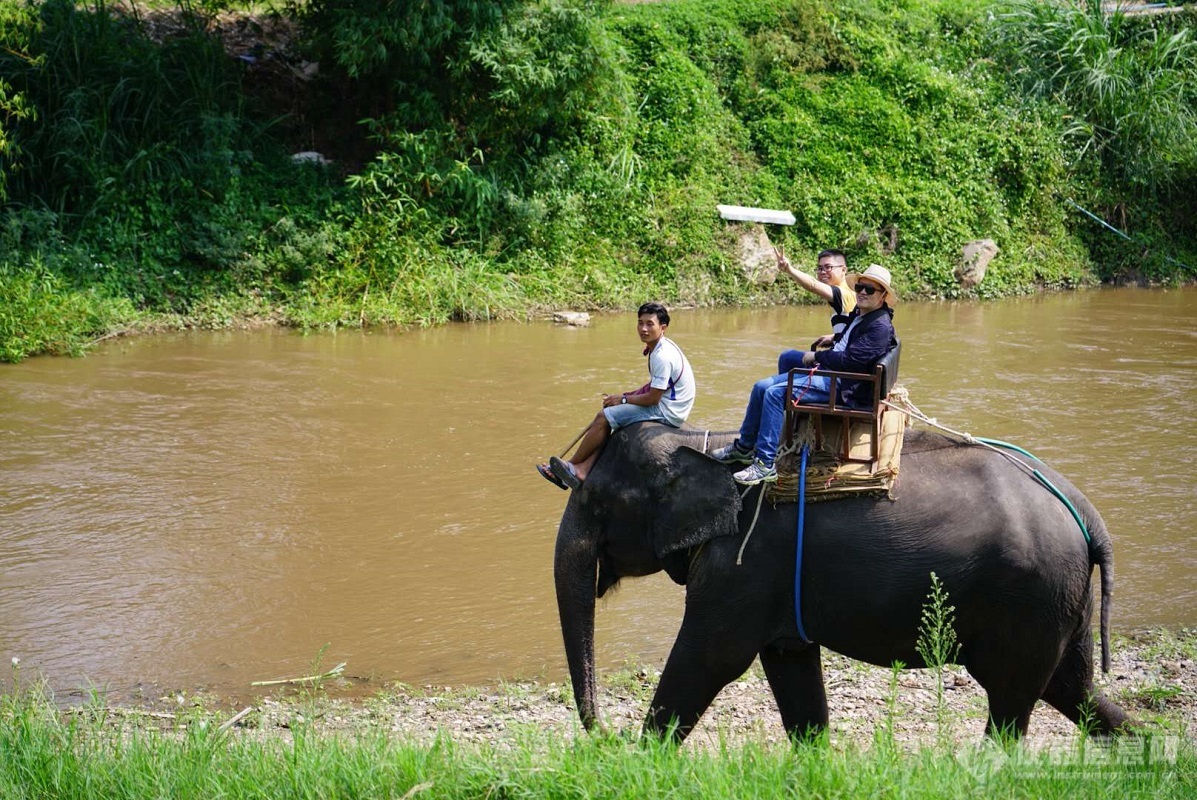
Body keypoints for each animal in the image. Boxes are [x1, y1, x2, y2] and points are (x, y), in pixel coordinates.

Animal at [550, 421, 1129, 742]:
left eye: (595, 502)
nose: (605, 735)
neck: (700, 439)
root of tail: (1086, 511)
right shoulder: (772, 583)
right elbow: (790, 665)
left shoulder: (743, 564)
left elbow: (710, 658)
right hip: (1060, 600)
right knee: (1070, 689)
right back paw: (1137, 748)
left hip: (1031, 596)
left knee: (1014, 700)